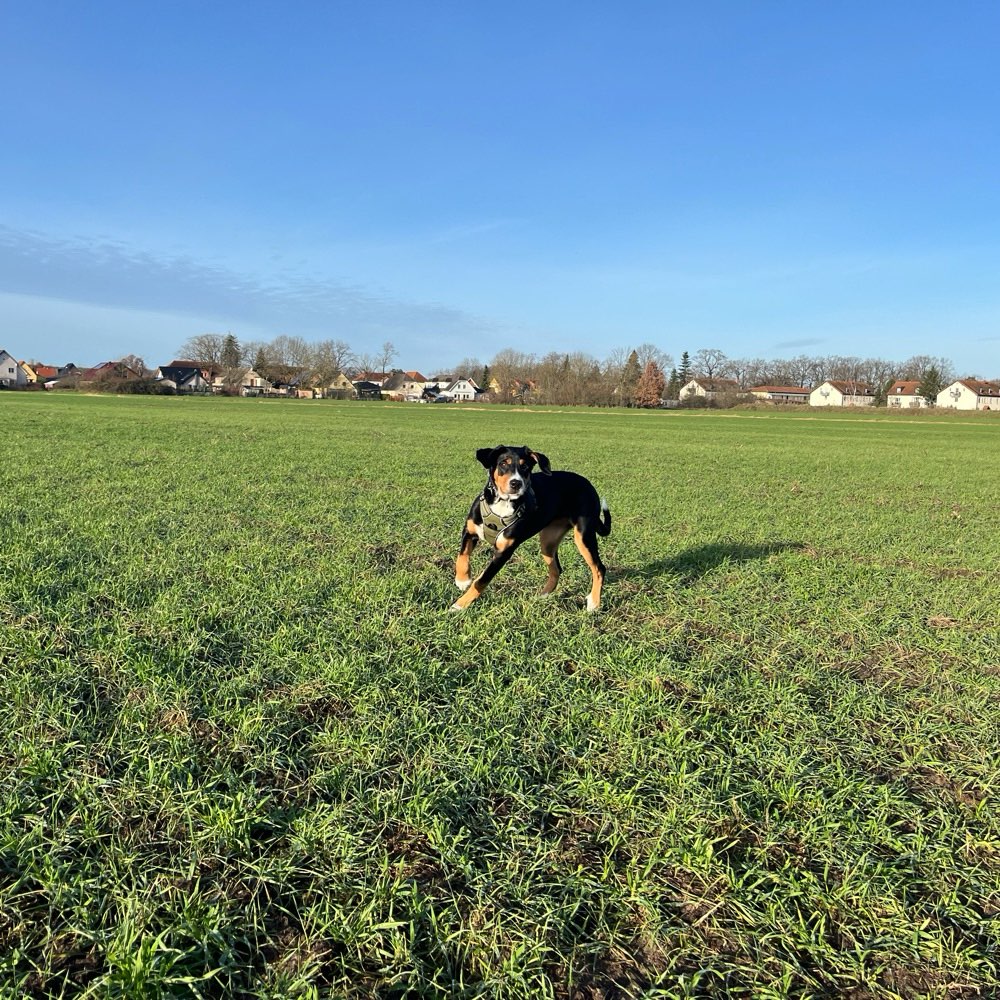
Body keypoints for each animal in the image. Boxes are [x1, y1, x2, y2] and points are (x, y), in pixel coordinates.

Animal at [454, 446, 608, 608]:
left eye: (525, 466)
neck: (503, 504)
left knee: (599, 568)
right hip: (548, 542)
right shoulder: (469, 531)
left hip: (583, 536)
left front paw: (459, 605)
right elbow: (462, 555)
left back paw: (594, 603)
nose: (516, 483)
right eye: (503, 463)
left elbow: (481, 580)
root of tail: (588, 484)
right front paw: (462, 580)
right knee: (556, 569)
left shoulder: (504, 552)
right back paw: (543, 596)